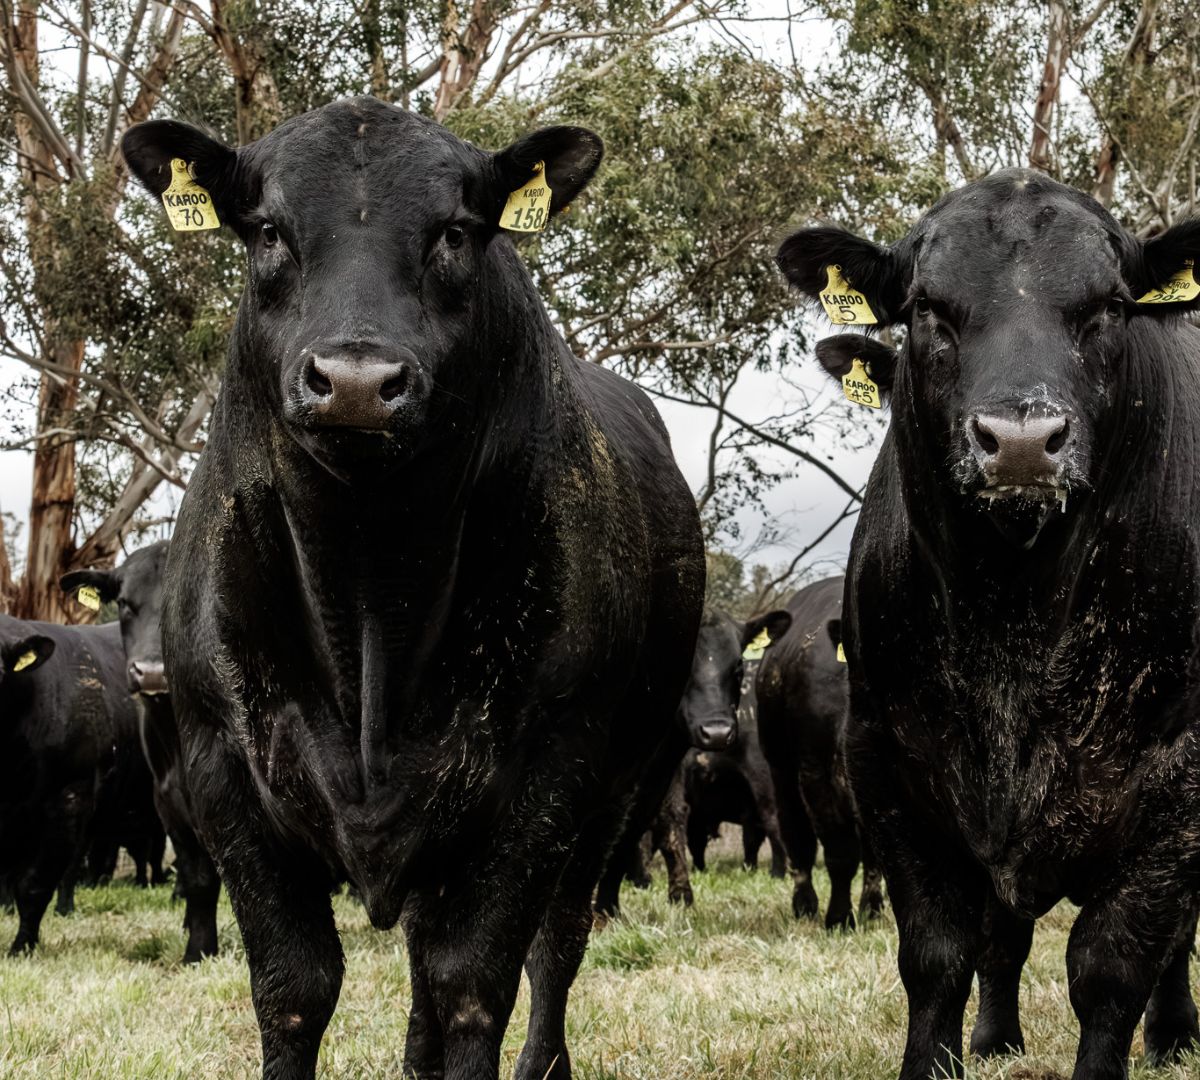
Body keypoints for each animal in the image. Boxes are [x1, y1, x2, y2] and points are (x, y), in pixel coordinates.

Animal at [122, 96, 704, 1080]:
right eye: (267, 230)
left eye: (456, 232)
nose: (357, 382)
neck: (370, 601)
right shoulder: (220, 765)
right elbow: (294, 988)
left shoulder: (551, 767)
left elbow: (476, 980)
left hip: (615, 785)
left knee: (553, 941)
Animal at [756, 574, 883, 929]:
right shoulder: (815, 774)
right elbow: (840, 853)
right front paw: (840, 917)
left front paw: (872, 909)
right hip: (781, 771)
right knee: (797, 836)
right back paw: (804, 904)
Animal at [777, 169, 1200, 1080]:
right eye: (929, 308)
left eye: (1109, 306)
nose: (1021, 440)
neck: (1015, 612)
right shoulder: (888, 761)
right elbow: (940, 955)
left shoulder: (1179, 783)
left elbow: (1114, 966)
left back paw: (1174, 1033)